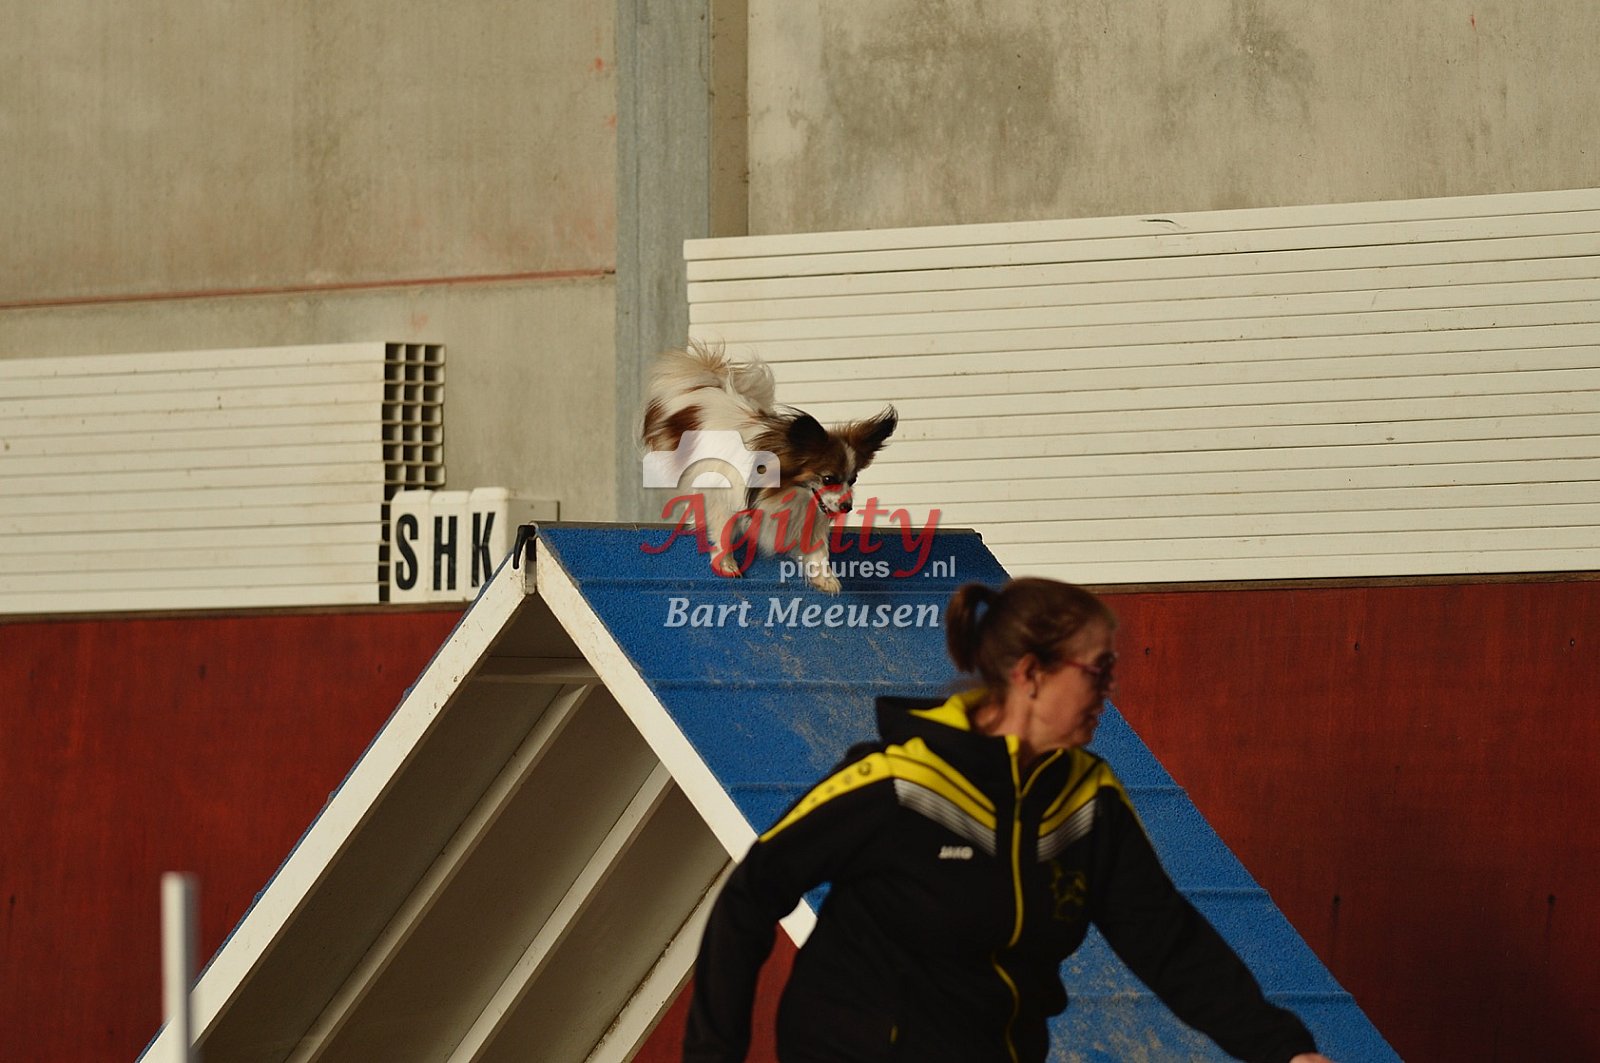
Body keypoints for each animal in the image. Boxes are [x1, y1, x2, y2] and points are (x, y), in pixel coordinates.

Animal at [641, 343, 897, 593]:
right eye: (828, 478)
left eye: (852, 480)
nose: (847, 507)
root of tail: (706, 385)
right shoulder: (720, 495)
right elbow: (723, 528)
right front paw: (726, 564)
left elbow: (818, 549)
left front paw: (825, 578)